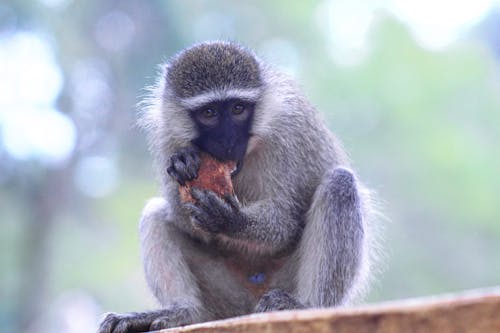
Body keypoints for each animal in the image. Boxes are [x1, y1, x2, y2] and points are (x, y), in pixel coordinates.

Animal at [97, 41, 376, 332]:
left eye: (238, 109)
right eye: (209, 113)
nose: (229, 141)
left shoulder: (289, 131)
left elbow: (285, 223)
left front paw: (231, 220)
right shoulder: (167, 136)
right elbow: (187, 223)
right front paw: (184, 162)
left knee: (339, 184)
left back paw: (306, 305)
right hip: (223, 298)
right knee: (155, 215)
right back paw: (182, 312)